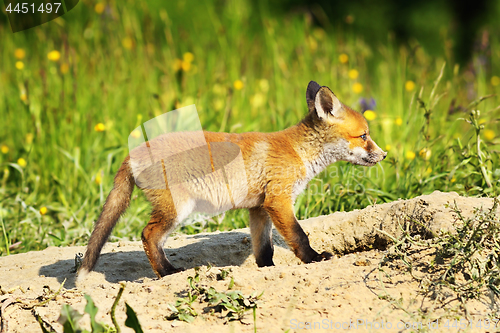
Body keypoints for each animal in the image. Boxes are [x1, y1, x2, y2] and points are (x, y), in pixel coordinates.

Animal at [78, 81, 386, 278]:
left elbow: (264, 249)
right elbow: (299, 236)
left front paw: (267, 271)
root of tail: (133, 152)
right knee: (148, 235)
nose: (384, 155)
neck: (298, 151)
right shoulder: (279, 201)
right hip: (176, 209)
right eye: (364, 136)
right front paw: (314, 258)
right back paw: (167, 272)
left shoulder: (259, 208)